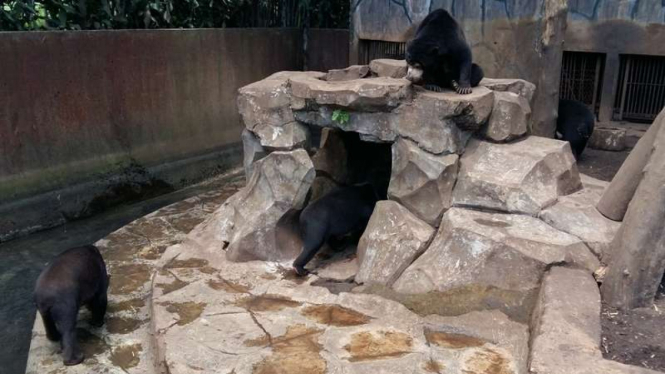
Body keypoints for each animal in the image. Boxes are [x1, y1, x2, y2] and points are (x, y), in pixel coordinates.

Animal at [348, 0, 564, 137]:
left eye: (417, 64)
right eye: (408, 62)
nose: (410, 77)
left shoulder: (454, 41)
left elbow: (466, 59)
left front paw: (463, 88)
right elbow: (432, 73)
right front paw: (432, 85)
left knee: (478, 70)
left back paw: (452, 82)